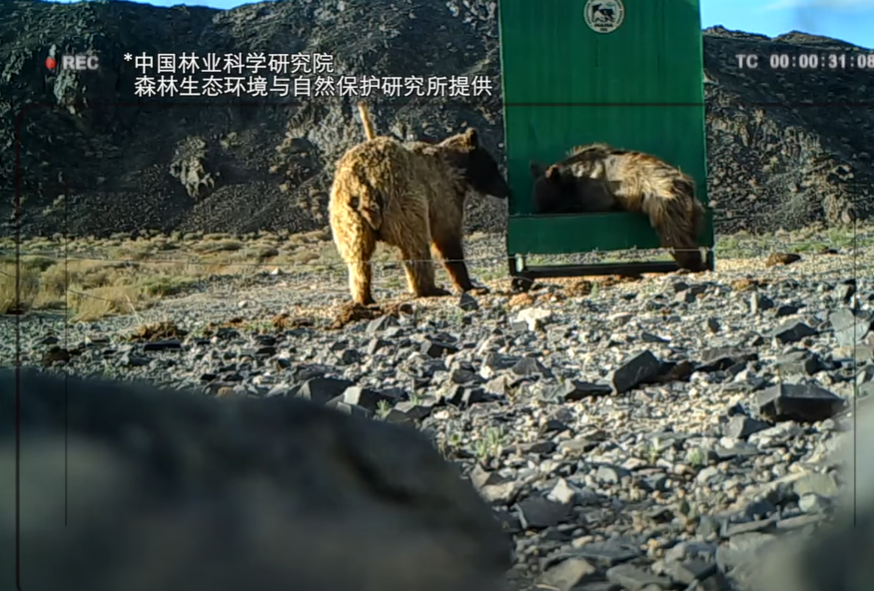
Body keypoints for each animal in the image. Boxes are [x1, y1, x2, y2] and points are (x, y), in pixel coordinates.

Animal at [329, 102, 510, 305]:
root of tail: (365, 181)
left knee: (357, 256)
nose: (506, 189)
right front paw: (471, 285)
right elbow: (447, 236)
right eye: (493, 164)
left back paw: (364, 297)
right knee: (415, 246)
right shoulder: (441, 194)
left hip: (347, 214)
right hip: (402, 201)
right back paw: (431, 289)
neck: (456, 171)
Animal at [530, 143, 707, 272]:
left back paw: (689, 262)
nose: (537, 211)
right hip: (691, 209)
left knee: (674, 233)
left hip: (664, 201)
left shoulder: (595, 191)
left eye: (543, 201)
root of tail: (685, 184)